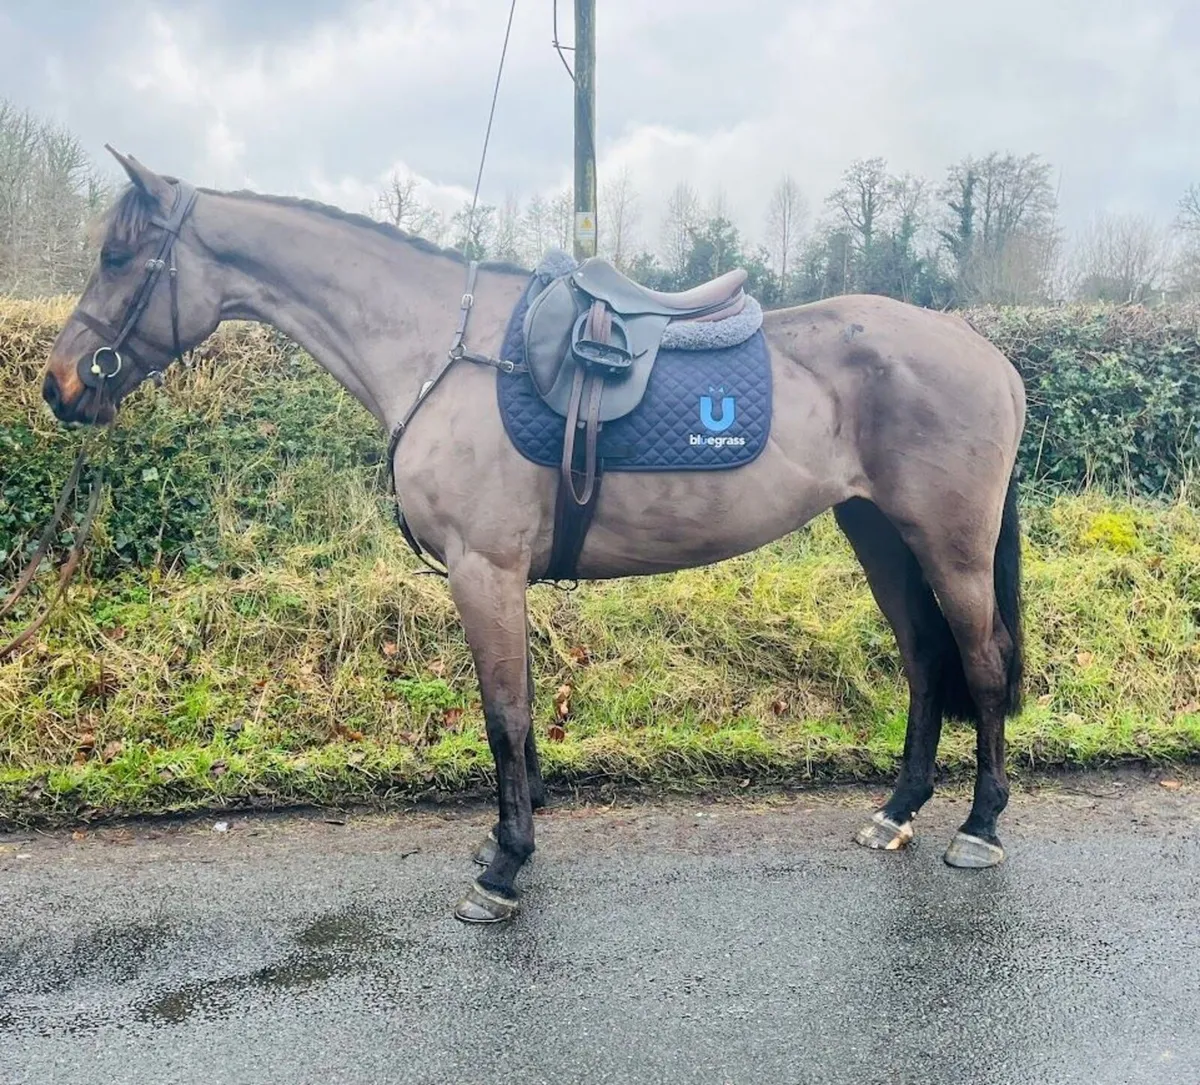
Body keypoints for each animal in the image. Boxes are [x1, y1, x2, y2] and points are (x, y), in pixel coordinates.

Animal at [40, 149, 1025, 923]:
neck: (439, 354)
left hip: (950, 545)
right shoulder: (495, 575)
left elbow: (503, 715)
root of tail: (989, 356)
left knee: (980, 662)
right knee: (924, 660)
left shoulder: (484, 569)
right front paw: (505, 842)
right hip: (878, 533)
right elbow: (512, 714)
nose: (59, 383)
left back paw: (979, 827)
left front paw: (504, 868)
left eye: (119, 255)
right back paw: (897, 811)